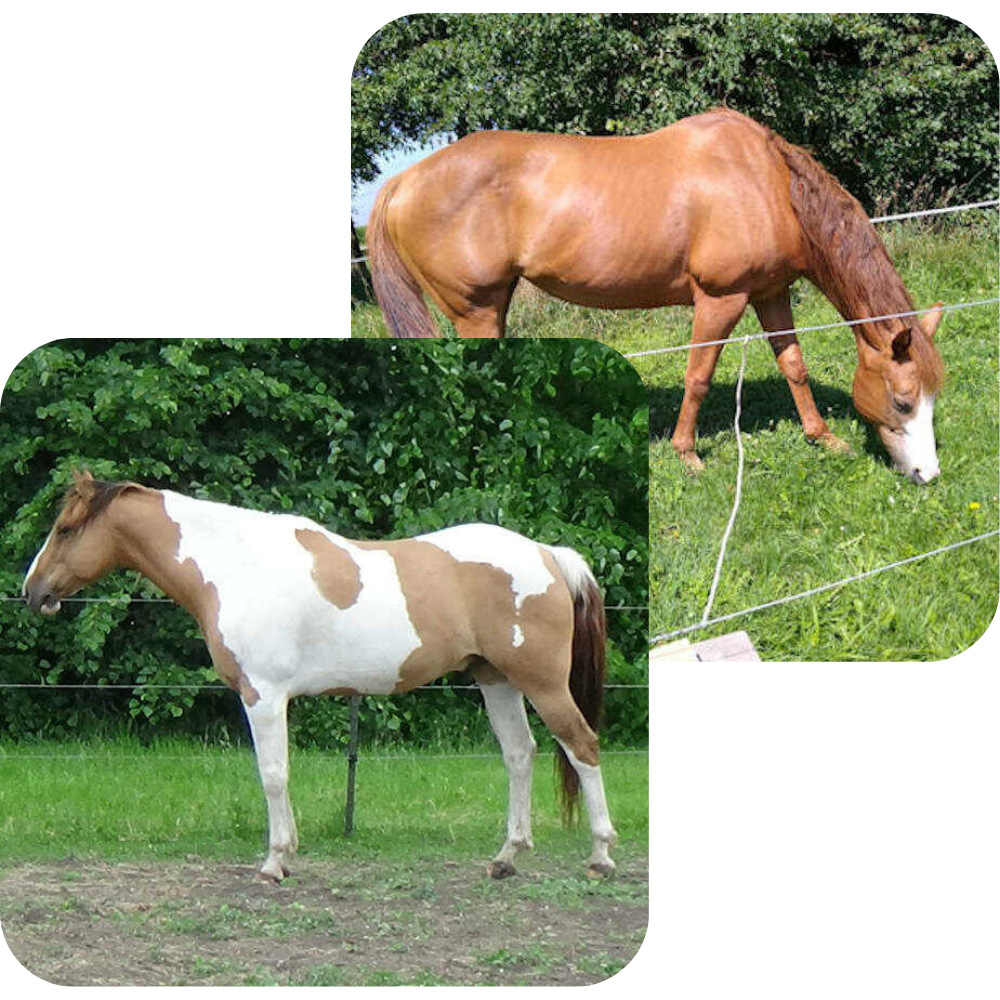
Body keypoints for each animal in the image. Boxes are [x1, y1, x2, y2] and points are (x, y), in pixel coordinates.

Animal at [22, 470, 617, 882]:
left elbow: (273, 774)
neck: (236, 567)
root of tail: (546, 554)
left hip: (542, 685)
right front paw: (286, 855)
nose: (33, 592)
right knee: (519, 755)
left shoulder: (263, 696)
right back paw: (506, 858)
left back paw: (600, 856)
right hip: (497, 682)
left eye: (66, 528)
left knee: (582, 747)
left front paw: (274, 862)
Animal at [368, 108, 946, 483]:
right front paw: (687, 453)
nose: (928, 474)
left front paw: (822, 436)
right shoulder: (721, 298)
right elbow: (698, 375)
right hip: (476, 311)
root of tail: (403, 181)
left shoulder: (770, 293)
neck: (768, 182)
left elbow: (794, 365)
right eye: (902, 401)